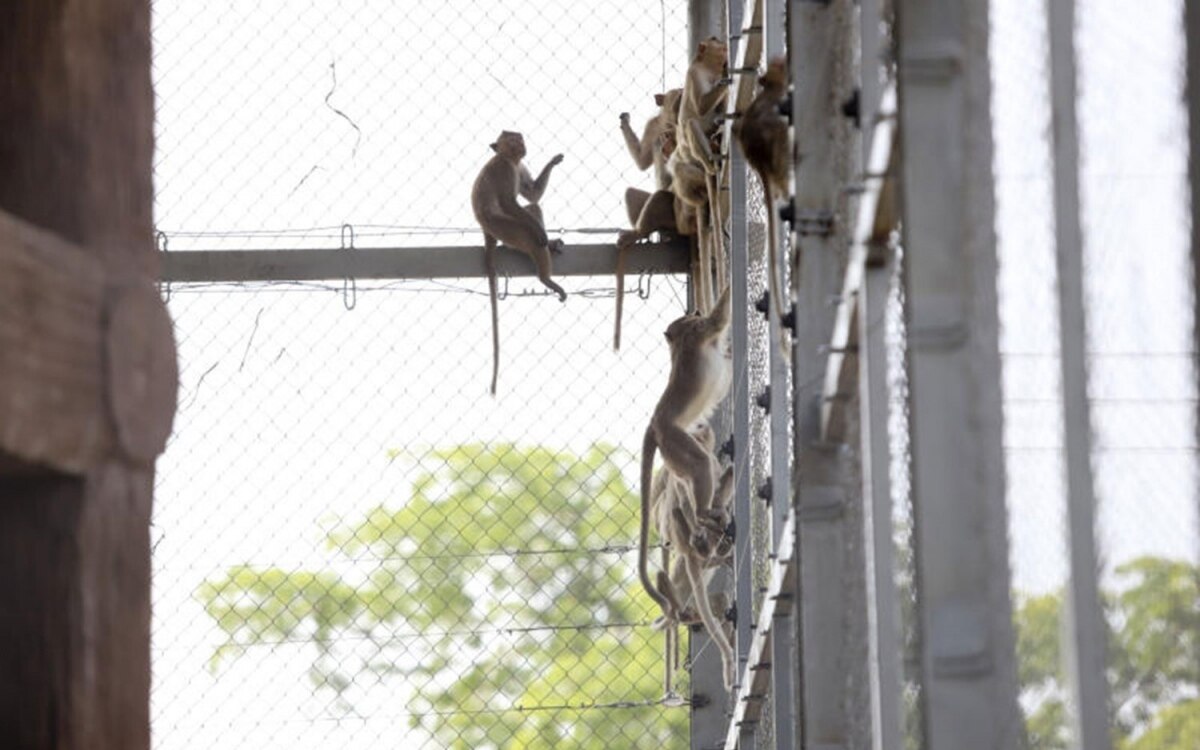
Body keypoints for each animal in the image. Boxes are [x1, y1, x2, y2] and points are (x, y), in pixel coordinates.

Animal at [465, 130, 564, 396]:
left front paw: (553, 161)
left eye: (518, 137)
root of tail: (487, 231)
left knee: (533, 208)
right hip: (506, 227)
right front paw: (540, 234)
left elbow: (532, 193)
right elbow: (510, 202)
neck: (510, 159)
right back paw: (546, 278)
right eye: (509, 138)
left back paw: (550, 246)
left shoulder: (519, 167)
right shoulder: (504, 169)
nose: (518, 141)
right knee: (530, 230)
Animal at [619, 90, 686, 350]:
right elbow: (643, 159)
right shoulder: (654, 125)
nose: (680, 101)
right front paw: (624, 122)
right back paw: (644, 235)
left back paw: (639, 234)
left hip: (674, 214)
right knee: (633, 194)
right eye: (676, 95)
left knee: (659, 198)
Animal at [638, 283, 729, 628]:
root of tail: (655, 425)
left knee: (701, 469)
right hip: (674, 440)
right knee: (702, 464)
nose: (694, 311)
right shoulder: (701, 331)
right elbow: (719, 319)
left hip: (673, 451)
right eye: (689, 317)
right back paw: (704, 515)